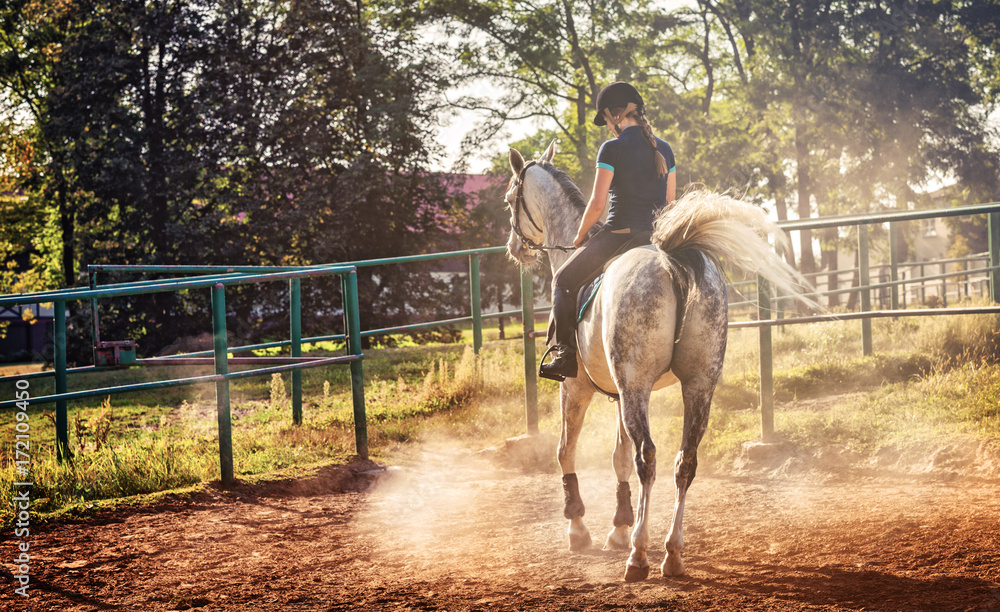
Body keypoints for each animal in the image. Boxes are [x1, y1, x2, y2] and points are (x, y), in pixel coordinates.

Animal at [508, 141, 812, 580]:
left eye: (509, 198)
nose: (514, 248)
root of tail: (673, 260)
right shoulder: (619, 393)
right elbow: (618, 457)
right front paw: (618, 527)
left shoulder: (577, 387)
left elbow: (566, 450)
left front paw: (579, 527)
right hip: (696, 386)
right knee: (685, 460)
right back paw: (672, 553)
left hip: (635, 386)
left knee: (648, 458)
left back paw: (639, 554)